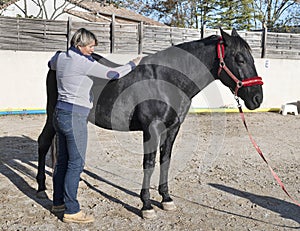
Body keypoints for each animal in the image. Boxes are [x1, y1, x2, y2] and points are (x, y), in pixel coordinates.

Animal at [37, 28, 262, 218]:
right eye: (239, 59)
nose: (257, 98)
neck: (166, 80)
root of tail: (57, 60)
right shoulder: (151, 129)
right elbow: (149, 164)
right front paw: (146, 206)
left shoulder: (172, 128)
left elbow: (165, 161)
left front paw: (166, 199)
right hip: (51, 114)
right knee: (44, 142)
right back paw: (41, 189)